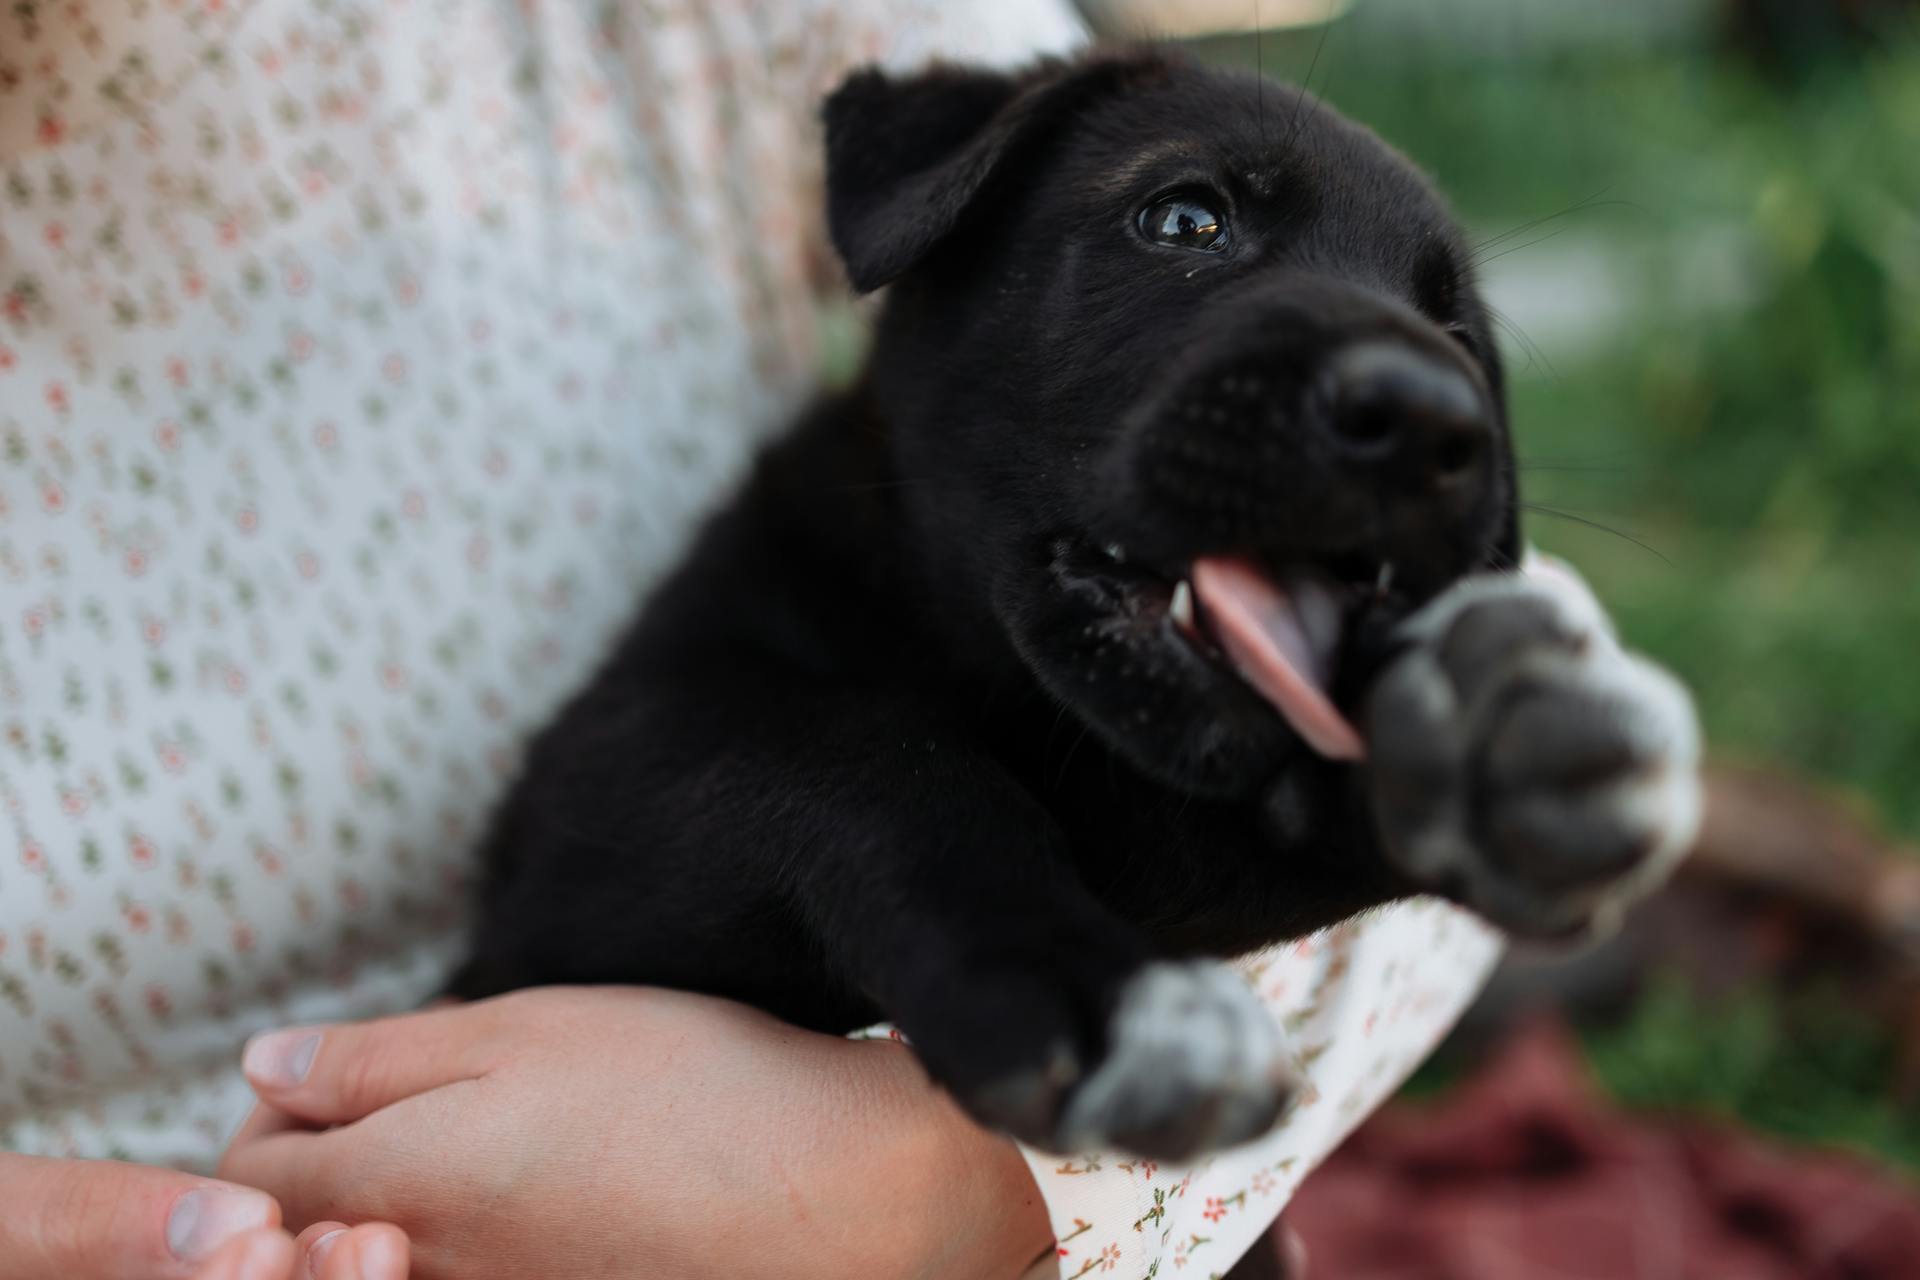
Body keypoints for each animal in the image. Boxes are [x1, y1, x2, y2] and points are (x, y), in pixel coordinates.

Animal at [456, 52, 1704, 1159]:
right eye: (1186, 220)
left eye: (1460, 338)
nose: (1430, 419)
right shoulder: (577, 830)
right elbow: (858, 753)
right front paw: (1086, 986)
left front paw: (1464, 729)